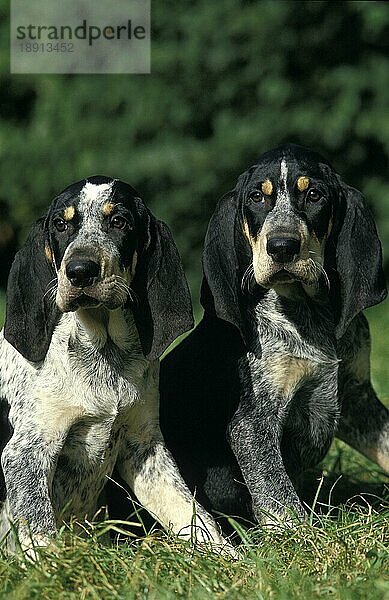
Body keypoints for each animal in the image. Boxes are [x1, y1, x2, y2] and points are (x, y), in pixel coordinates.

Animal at [0, 176, 226, 556]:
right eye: (61, 225)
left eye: (118, 222)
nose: (80, 271)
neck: (103, 352)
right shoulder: (27, 452)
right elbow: (40, 532)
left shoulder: (145, 448)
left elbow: (194, 517)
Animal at [158, 143, 388, 528]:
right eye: (256, 197)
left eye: (314, 195)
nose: (282, 246)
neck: (309, 313)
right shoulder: (254, 423)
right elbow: (280, 498)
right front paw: (304, 536)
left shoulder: (357, 398)